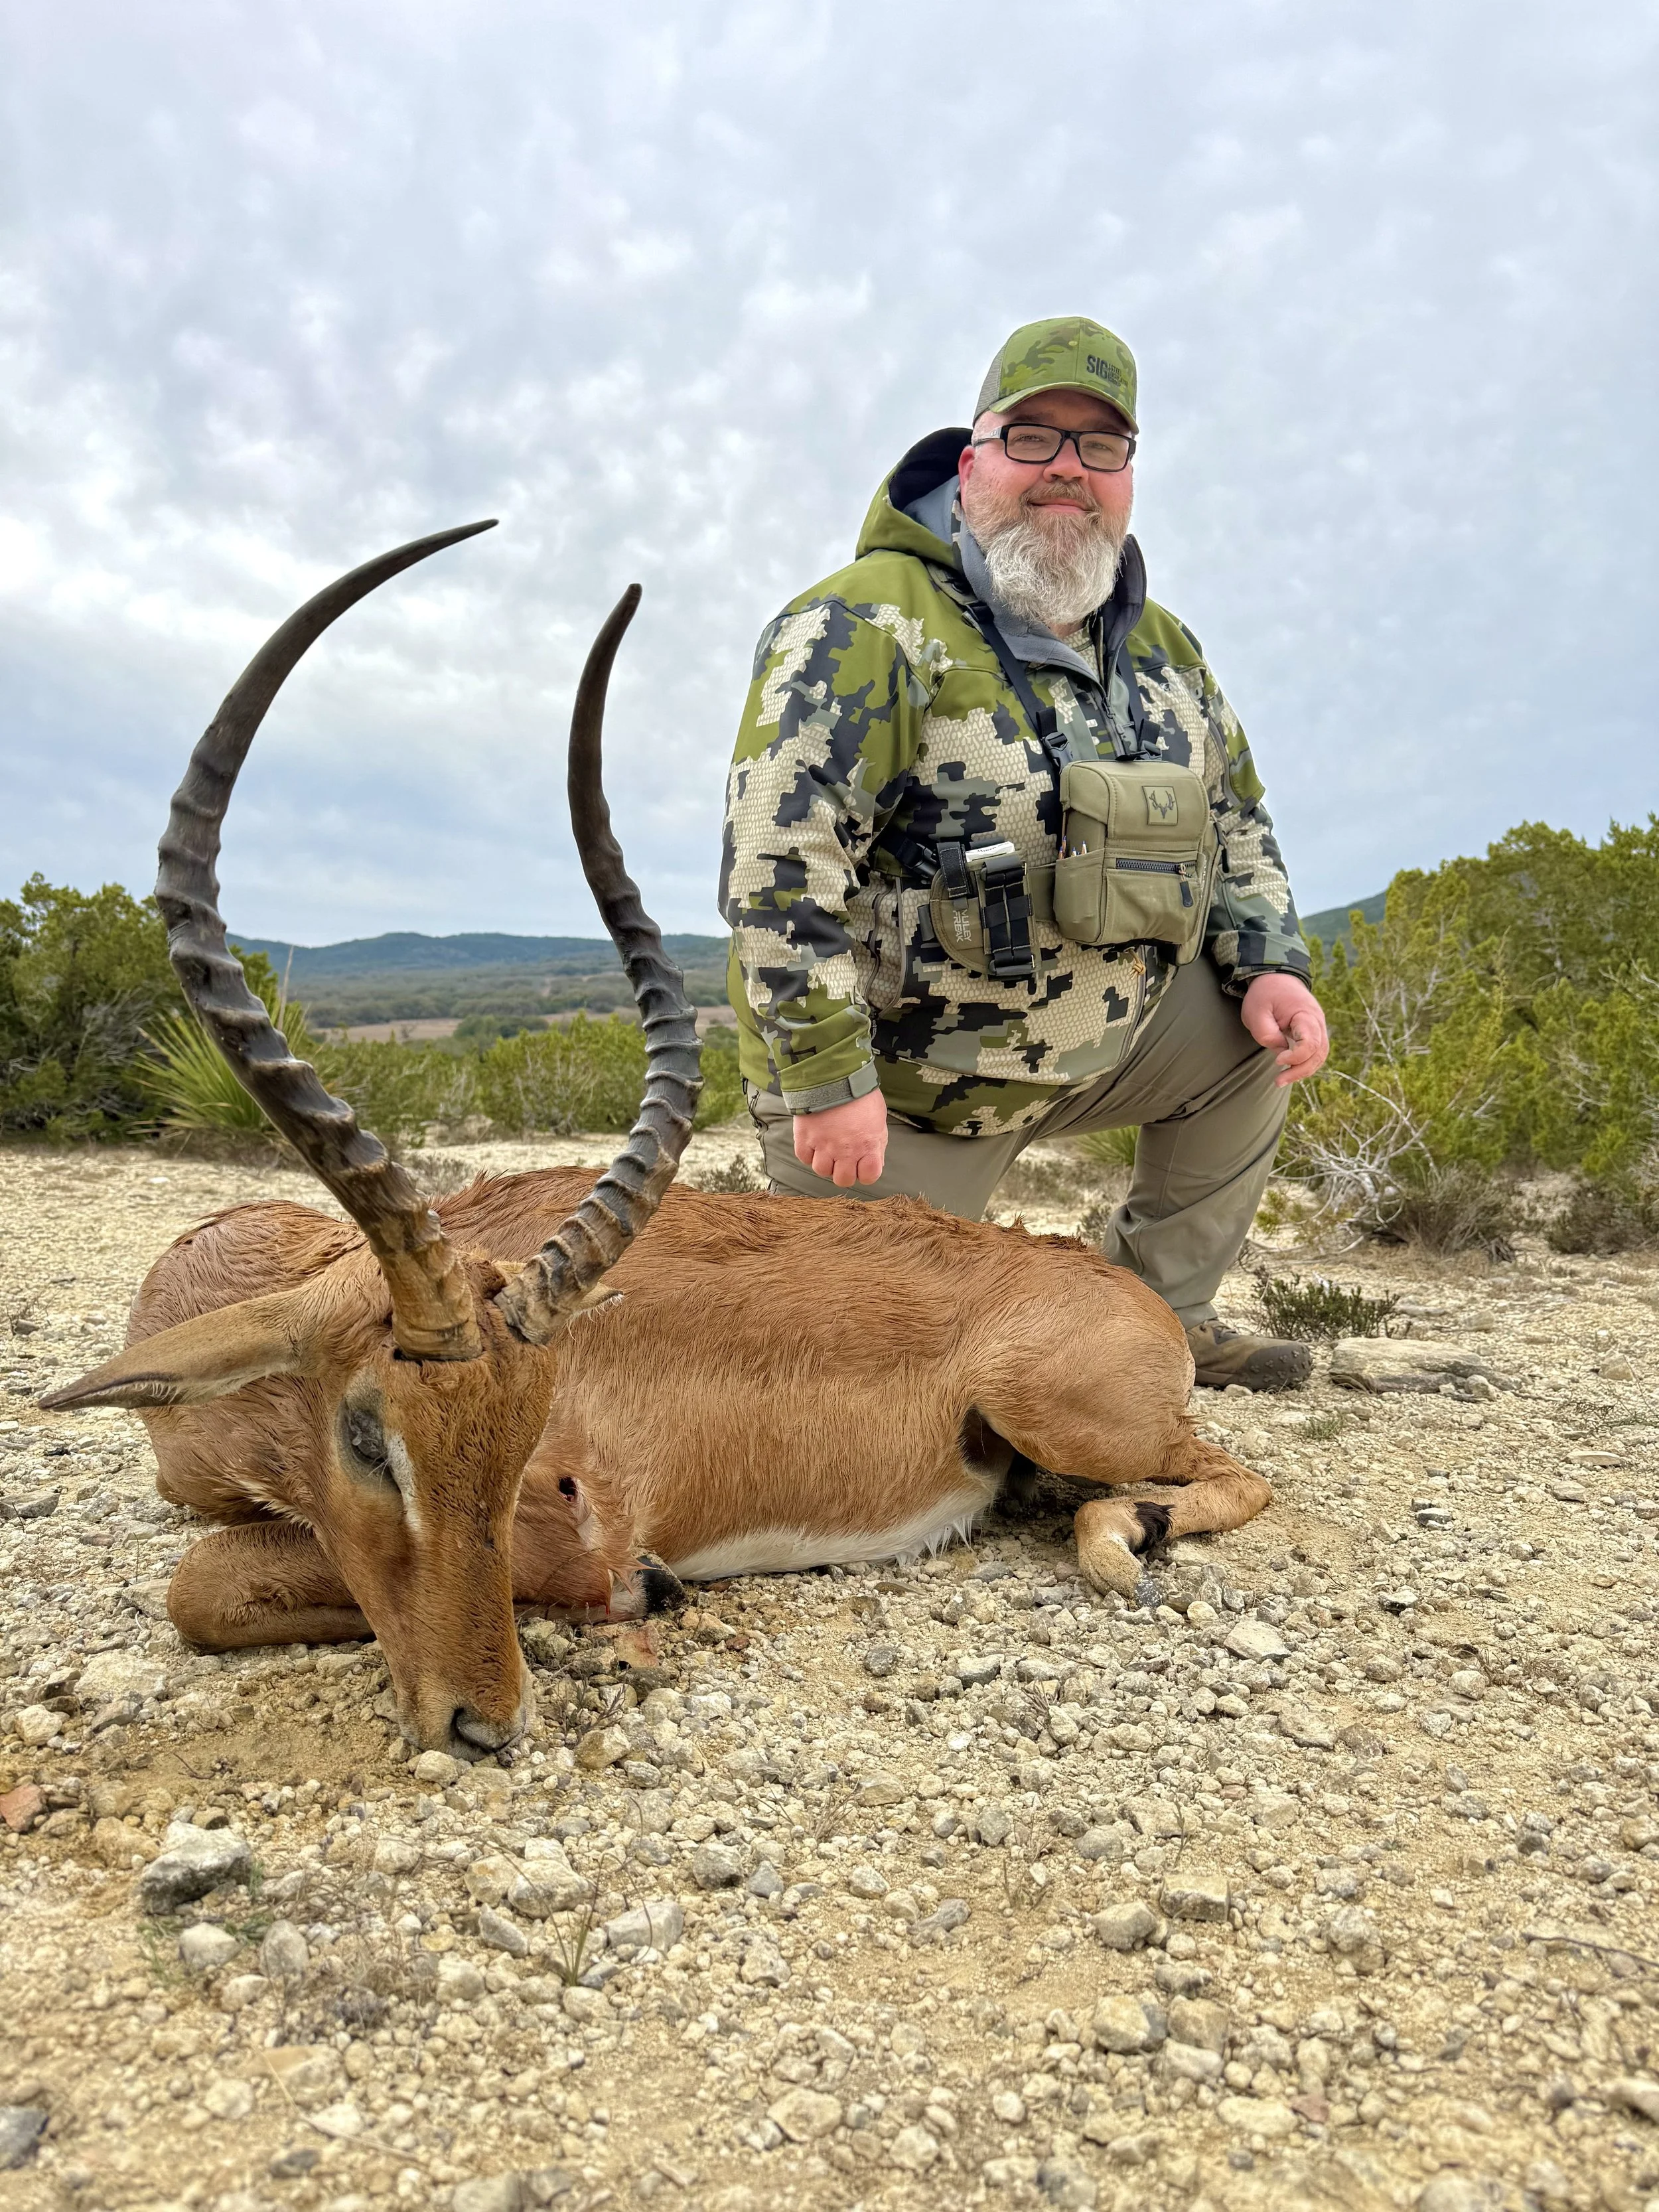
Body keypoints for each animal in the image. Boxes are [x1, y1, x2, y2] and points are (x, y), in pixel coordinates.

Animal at [44, 526, 1273, 1761]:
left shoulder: (586, 1527)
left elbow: (201, 1582)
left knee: (1237, 1473)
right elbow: (200, 1575)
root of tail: (1120, 1289)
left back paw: (1123, 1540)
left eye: (531, 1446)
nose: (486, 1721)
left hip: (1065, 1414)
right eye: (364, 1436)